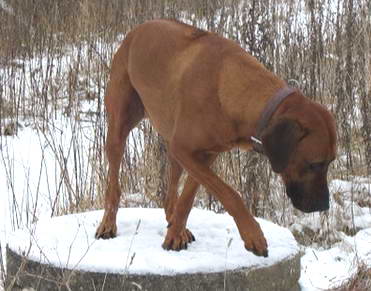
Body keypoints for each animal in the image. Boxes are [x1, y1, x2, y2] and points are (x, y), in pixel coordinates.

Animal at [95, 20, 338, 258]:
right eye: (314, 164)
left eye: (330, 162)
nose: (323, 205)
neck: (229, 88)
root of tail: (135, 30)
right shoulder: (183, 149)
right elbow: (230, 193)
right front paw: (253, 235)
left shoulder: (204, 154)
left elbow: (188, 198)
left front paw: (175, 234)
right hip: (119, 127)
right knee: (113, 184)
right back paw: (107, 224)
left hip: (172, 144)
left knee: (171, 193)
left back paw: (175, 223)